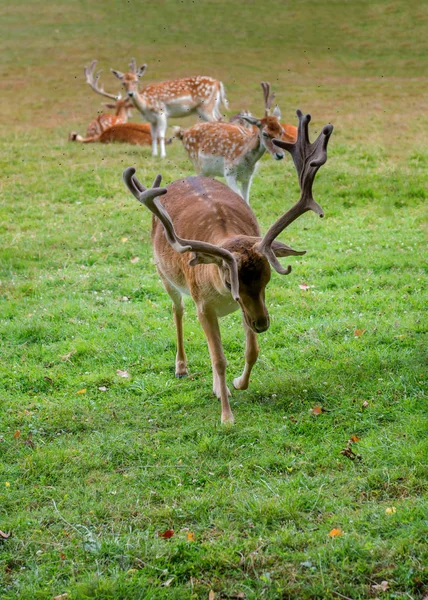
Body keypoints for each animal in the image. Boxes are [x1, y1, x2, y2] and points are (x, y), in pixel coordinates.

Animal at [122, 109, 332, 426]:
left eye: (267, 280)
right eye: (232, 283)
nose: (262, 324)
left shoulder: (248, 306)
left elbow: (251, 351)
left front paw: (236, 383)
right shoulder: (205, 306)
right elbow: (218, 359)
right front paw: (226, 417)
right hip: (165, 276)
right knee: (177, 310)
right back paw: (181, 367)